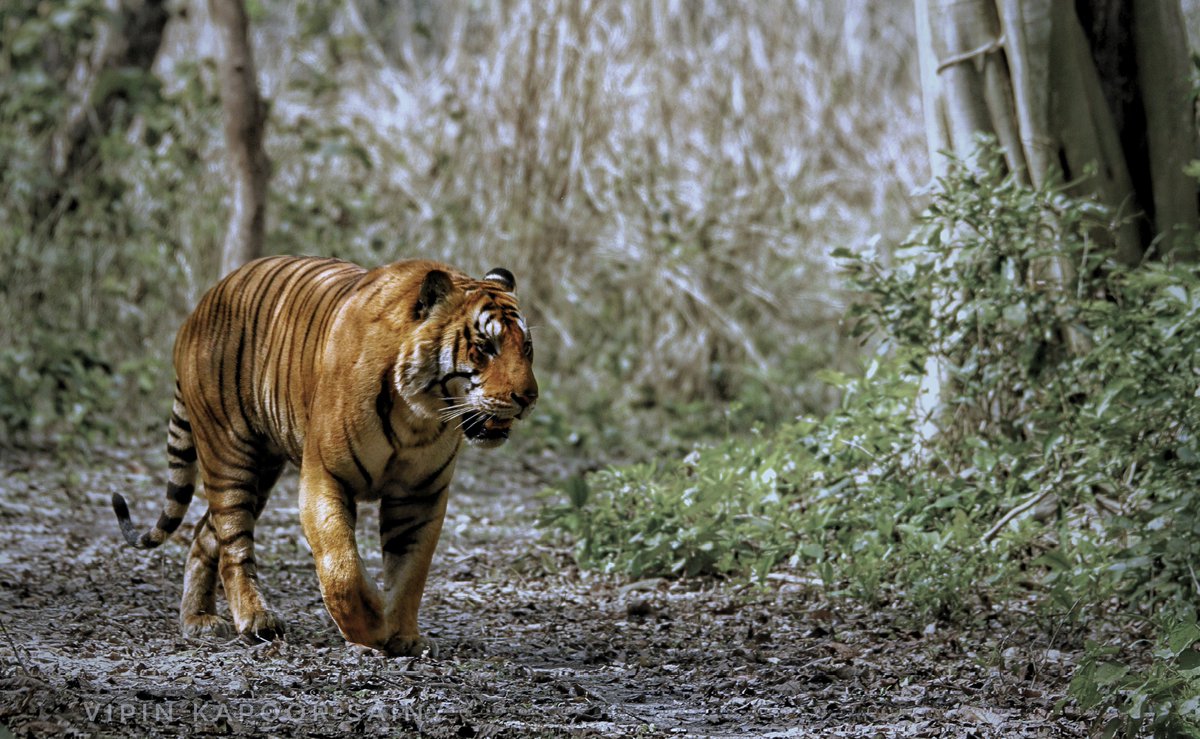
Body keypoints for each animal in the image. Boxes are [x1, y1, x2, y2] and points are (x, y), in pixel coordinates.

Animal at [110, 256, 542, 657]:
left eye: (526, 348)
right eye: (485, 348)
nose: (528, 398)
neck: (418, 417)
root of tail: (199, 307)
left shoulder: (420, 494)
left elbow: (410, 571)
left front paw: (404, 636)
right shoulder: (325, 475)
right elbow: (341, 565)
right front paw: (371, 625)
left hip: (260, 471)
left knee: (204, 534)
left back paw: (198, 620)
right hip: (230, 455)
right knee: (234, 545)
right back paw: (255, 620)